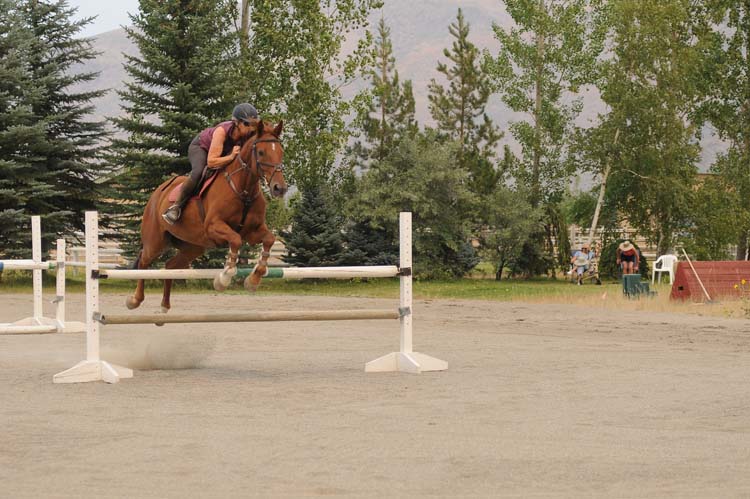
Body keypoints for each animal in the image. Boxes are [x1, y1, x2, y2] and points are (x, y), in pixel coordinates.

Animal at [125, 120, 290, 316]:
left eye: (281, 152)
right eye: (261, 152)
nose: (279, 188)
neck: (243, 189)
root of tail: (158, 192)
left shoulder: (252, 231)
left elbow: (269, 239)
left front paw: (253, 280)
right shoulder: (214, 226)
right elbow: (235, 240)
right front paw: (224, 278)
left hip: (193, 246)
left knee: (171, 266)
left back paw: (165, 305)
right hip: (155, 242)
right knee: (143, 261)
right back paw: (135, 300)